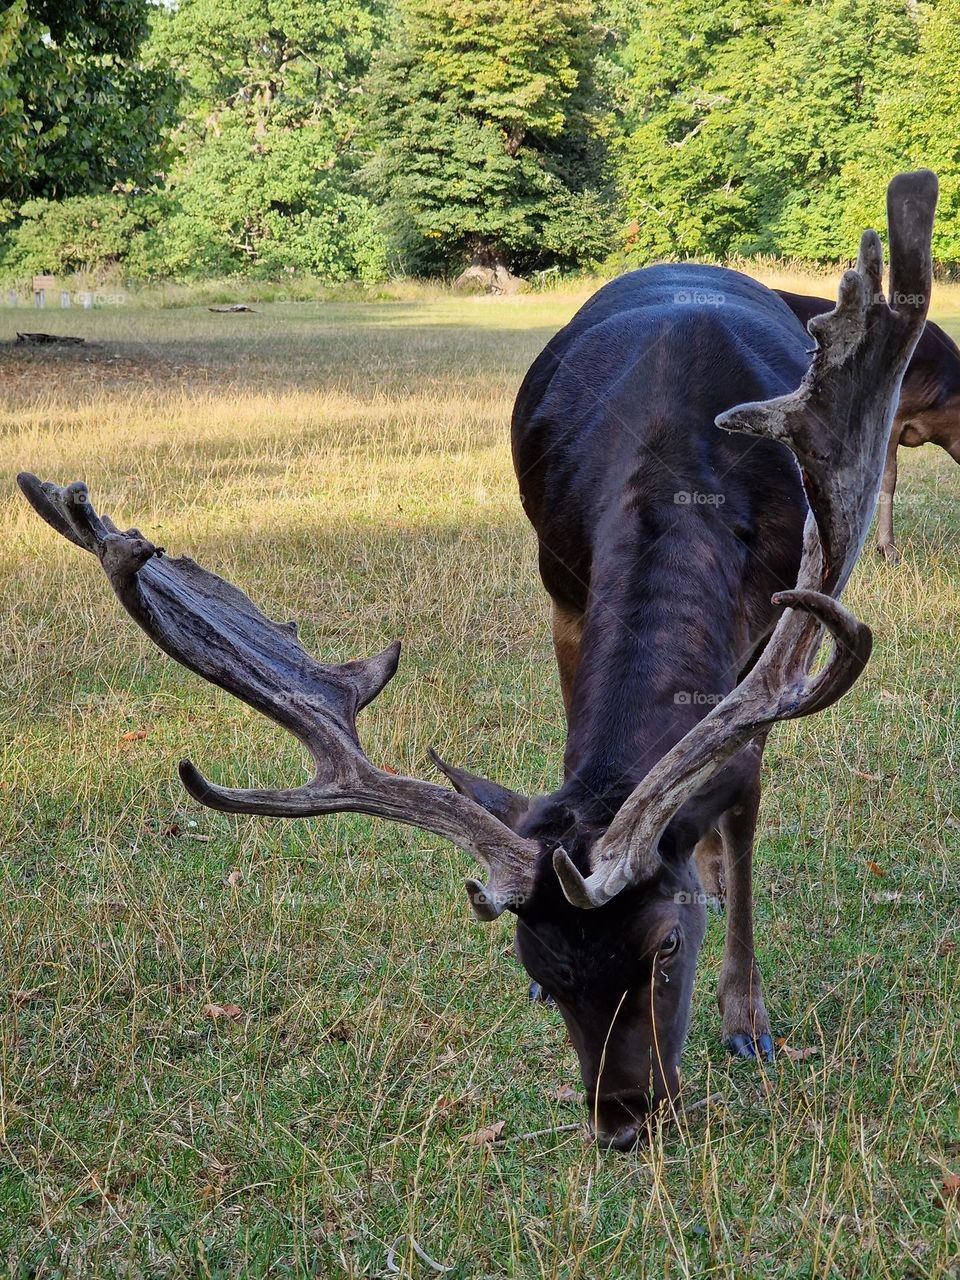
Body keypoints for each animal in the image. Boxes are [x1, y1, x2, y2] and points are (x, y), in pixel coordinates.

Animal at [19, 170, 937, 1152]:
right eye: (536, 968)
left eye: (665, 946)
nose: (621, 1120)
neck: (682, 465)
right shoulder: (564, 586)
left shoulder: (779, 620)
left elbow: (743, 796)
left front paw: (747, 1018)